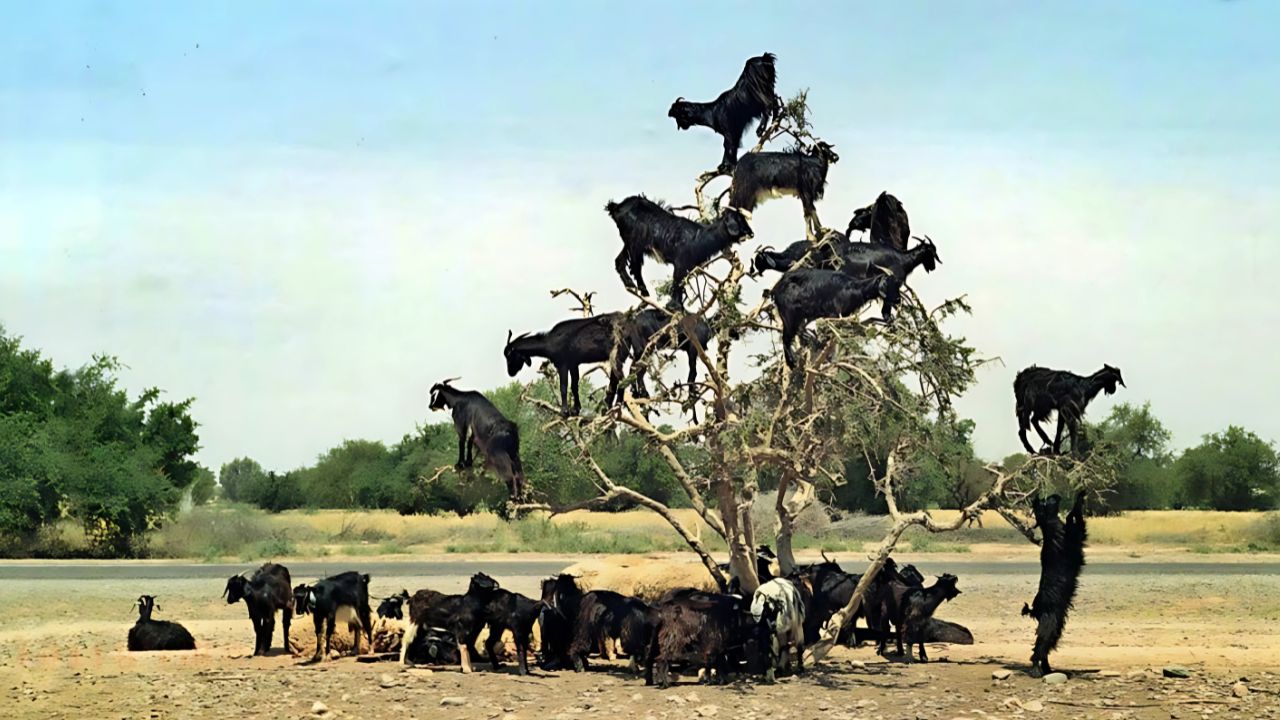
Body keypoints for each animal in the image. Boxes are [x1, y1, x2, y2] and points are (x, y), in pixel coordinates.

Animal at [606, 195, 753, 308]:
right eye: (738, 220)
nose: (751, 233)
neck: (700, 236)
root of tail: (617, 207)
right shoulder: (680, 263)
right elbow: (677, 282)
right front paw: (674, 307)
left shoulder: (687, 266)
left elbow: (681, 284)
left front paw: (678, 307)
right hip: (636, 242)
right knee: (636, 267)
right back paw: (645, 294)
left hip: (629, 243)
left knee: (619, 260)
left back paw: (630, 284)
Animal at [770, 268, 902, 368]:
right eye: (887, 284)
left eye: (897, 286)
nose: (898, 299)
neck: (855, 288)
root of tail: (776, 288)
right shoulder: (833, 314)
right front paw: (831, 358)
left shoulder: (842, 317)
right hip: (789, 313)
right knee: (787, 337)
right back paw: (793, 361)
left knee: (798, 330)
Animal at [1023, 494, 1087, 677]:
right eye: (1046, 501)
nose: (1055, 496)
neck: (1050, 527)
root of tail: (1035, 609)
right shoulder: (1074, 535)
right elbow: (1074, 516)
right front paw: (1080, 495)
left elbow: (1074, 517)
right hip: (1050, 625)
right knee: (1038, 649)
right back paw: (1037, 671)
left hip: (1056, 626)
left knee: (1043, 650)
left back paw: (1047, 669)